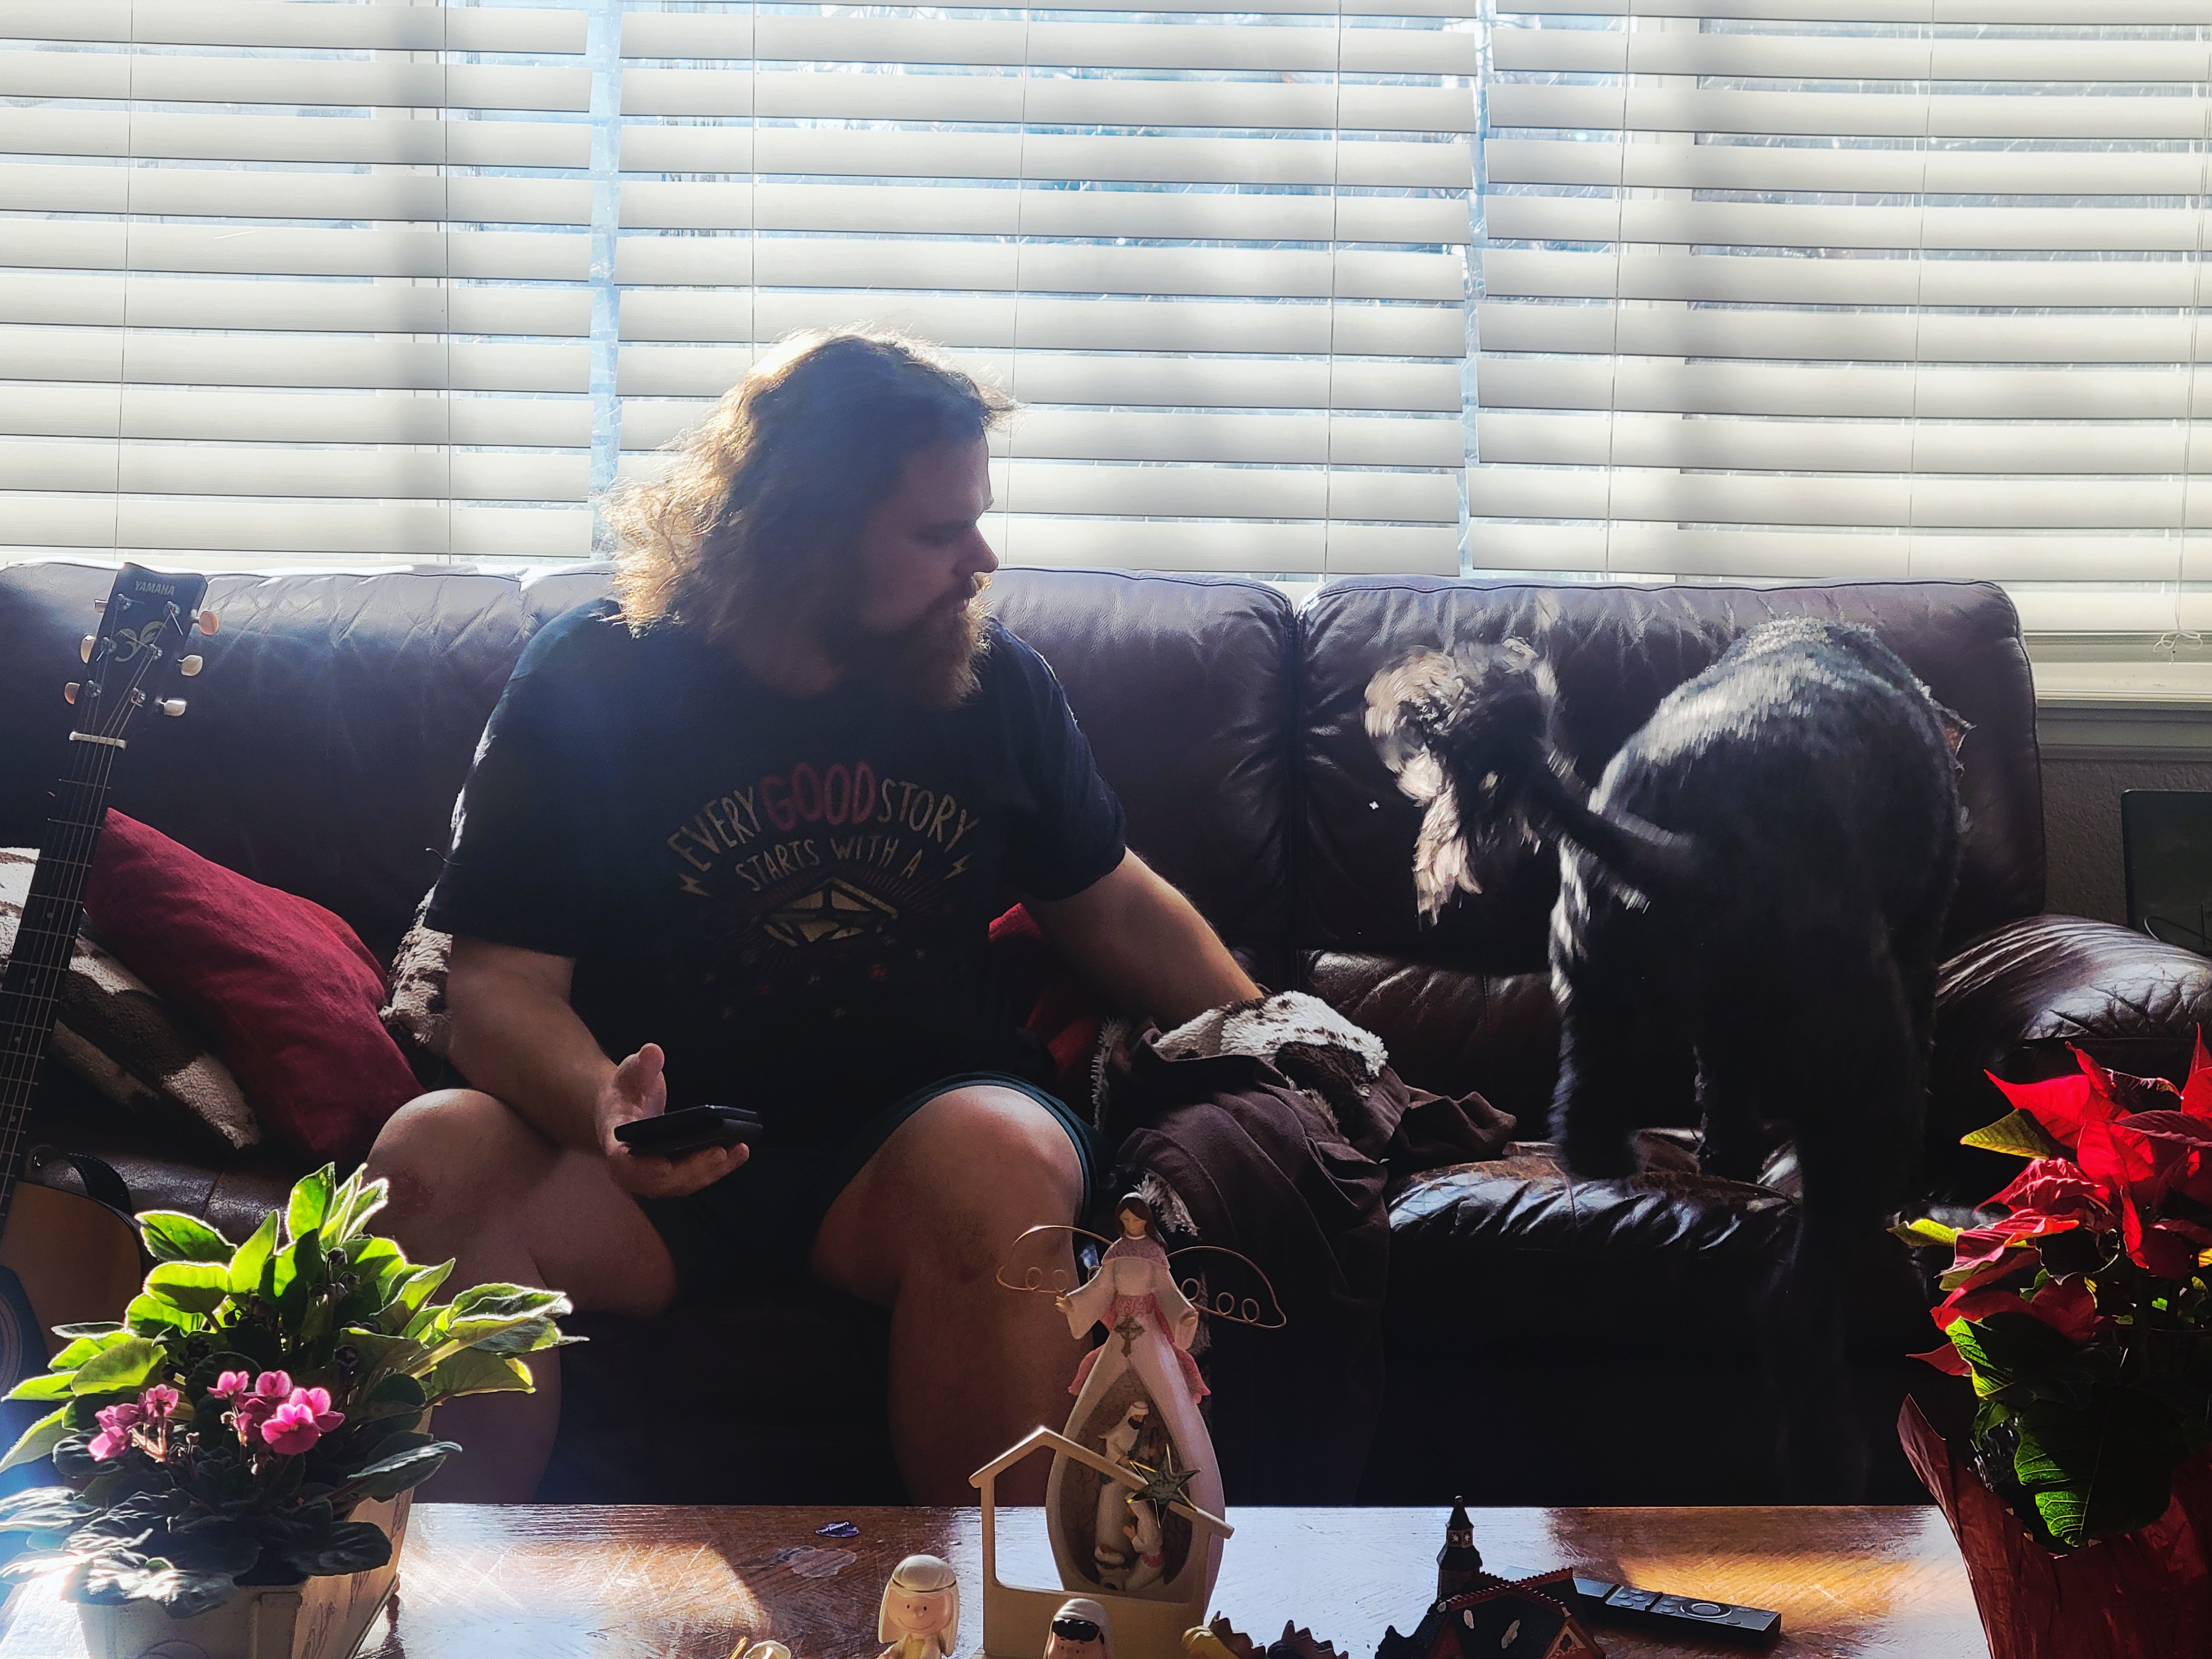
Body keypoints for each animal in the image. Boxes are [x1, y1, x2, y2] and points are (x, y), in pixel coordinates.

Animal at [1367, 618, 1965, 1484]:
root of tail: (1694, 851)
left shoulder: (1720, 1043)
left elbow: (1723, 1094)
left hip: (1594, 997)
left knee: (1588, 1117)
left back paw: (1617, 1161)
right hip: (1862, 1094)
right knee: (1800, 1303)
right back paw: (1831, 1450)